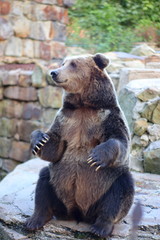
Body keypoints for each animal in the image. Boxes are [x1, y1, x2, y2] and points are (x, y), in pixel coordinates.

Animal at [25, 53, 134, 237]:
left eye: (73, 64)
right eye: (63, 63)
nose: (54, 72)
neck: (84, 105)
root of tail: (79, 213)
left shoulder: (107, 117)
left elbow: (120, 140)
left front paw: (96, 156)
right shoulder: (66, 120)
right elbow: (54, 148)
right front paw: (39, 140)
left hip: (104, 187)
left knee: (120, 191)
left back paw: (101, 227)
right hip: (59, 190)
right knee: (44, 180)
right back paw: (35, 220)